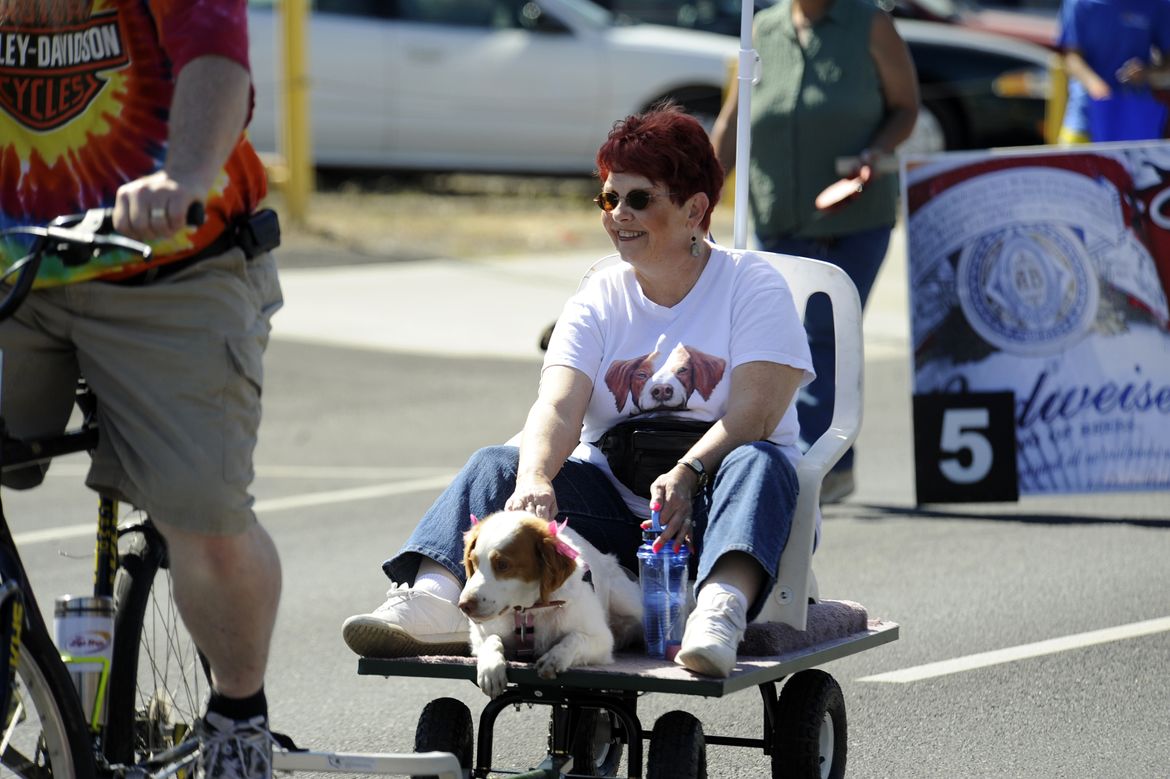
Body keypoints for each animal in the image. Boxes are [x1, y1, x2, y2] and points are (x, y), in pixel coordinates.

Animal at [456, 507, 641, 692]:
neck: (527, 612)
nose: (464, 605)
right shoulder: (478, 634)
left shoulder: (603, 640)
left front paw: (555, 658)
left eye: (502, 564)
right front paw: (491, 668)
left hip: (626, 601)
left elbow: (574, 638)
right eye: (473, 562)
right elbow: (492, 640)